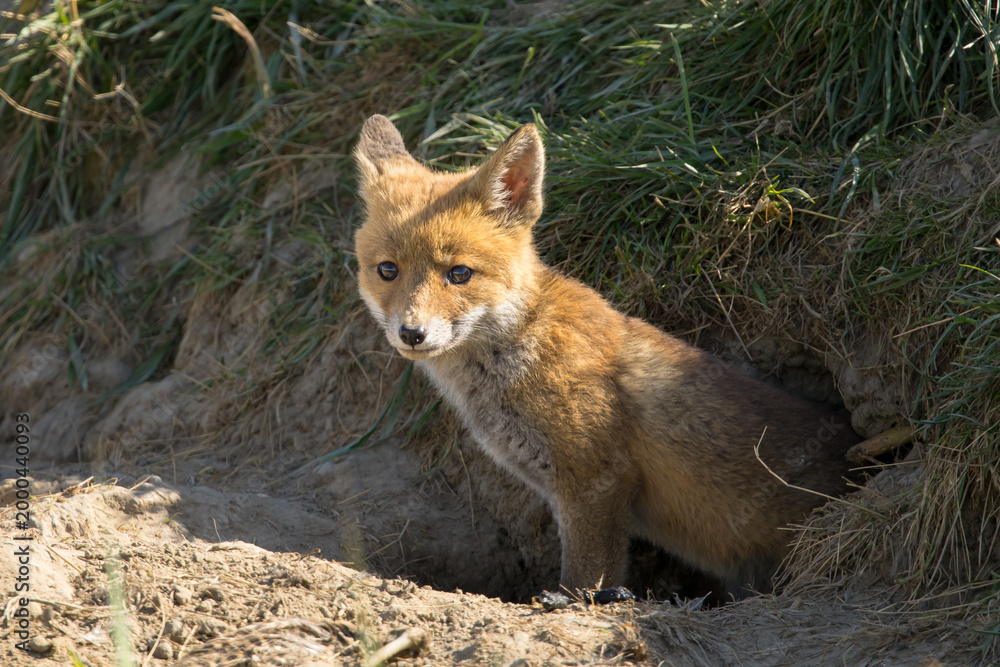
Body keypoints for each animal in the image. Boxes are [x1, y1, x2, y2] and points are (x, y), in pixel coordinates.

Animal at [353, 114, 860, 599]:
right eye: (387, 270)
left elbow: (585, 578)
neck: (525, 347)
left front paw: (574, 602)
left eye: (459, 273)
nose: (412, 333)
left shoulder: (595, 483)